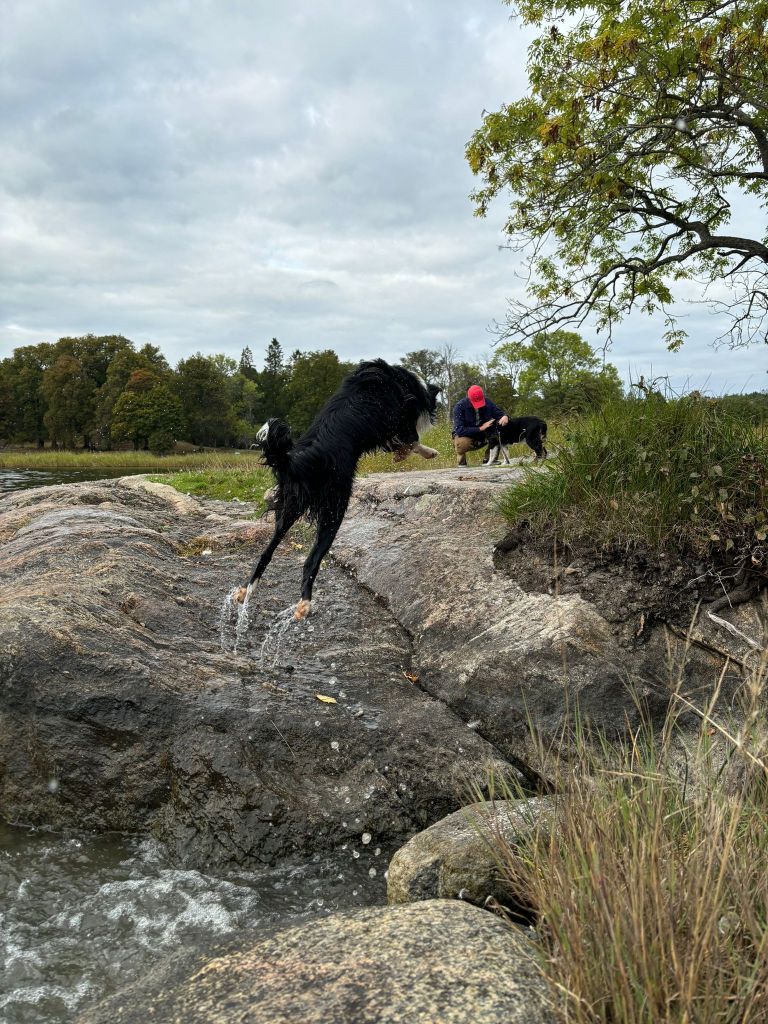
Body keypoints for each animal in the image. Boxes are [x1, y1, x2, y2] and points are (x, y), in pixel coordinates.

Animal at [233, 356, 438, 618]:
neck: (405, 381)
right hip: (334, 508)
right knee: (311, 561)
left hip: (286, 511)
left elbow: (405, 444)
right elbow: (413, 441)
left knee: (265, 553)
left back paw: (245, 591)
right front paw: (425, 452)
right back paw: (304, 604)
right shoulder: (401, 420)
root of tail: (296, 461)